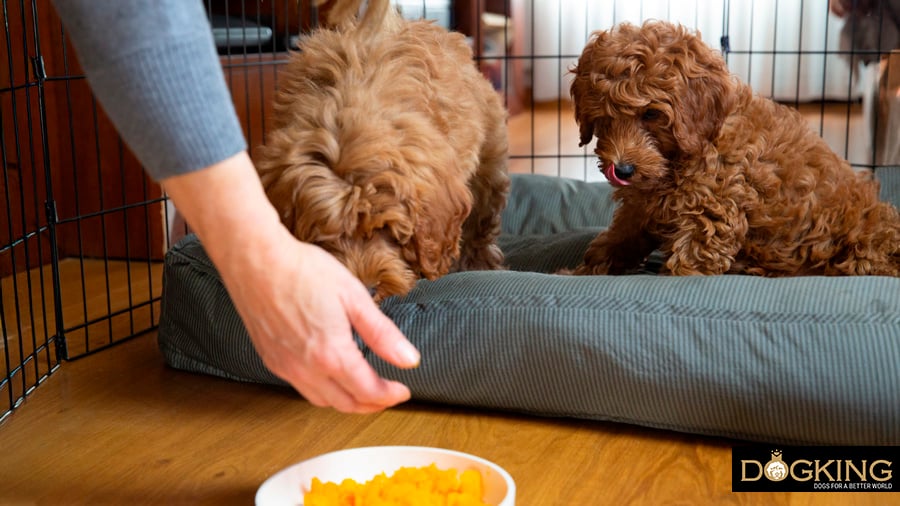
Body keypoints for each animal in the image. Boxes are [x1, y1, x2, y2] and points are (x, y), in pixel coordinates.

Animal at [568, 19, 900, 276]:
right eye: (602, 118)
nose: (622, 169)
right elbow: (620, 236)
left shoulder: (711, 212)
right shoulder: (641, 206)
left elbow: (686, 267)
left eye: (650, 114)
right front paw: (582, 271)